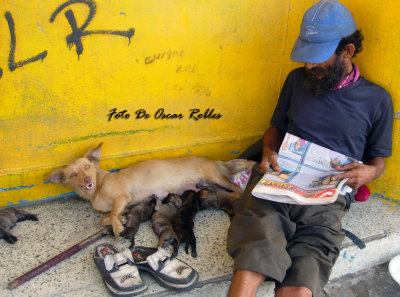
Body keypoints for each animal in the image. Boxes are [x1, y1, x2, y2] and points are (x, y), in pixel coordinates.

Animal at [48, 142, 255, 237]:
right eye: (73, 174)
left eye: (87, 167)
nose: (88, 179)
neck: (97, 188)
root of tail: (216, 162)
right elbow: (104, 217)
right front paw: (120, 220)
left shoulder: (122, 197)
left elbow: (113, 214)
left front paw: (117, 226)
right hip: (207, 185)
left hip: (215, 179)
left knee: (237, 189)